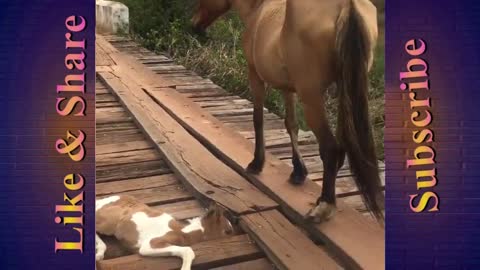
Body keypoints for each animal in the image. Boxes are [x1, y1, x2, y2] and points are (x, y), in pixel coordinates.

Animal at [94, 195, 233, 270]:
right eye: (228, 231)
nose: (234, 233)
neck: (184, 232)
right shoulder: (150, 244)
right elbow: (188, 250)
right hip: (110, 222)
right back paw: (99, 254)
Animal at [191, 0, 382, 223]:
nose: (194, 25)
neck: (258, 10)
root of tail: (347, 6)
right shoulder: (287, 88)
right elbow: (291, 124)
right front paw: (298, 172)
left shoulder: (255, 75)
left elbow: (258, 119)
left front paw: (257, 163)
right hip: (344, 93)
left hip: (311, 98)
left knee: (330, 148)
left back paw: (325, 205)